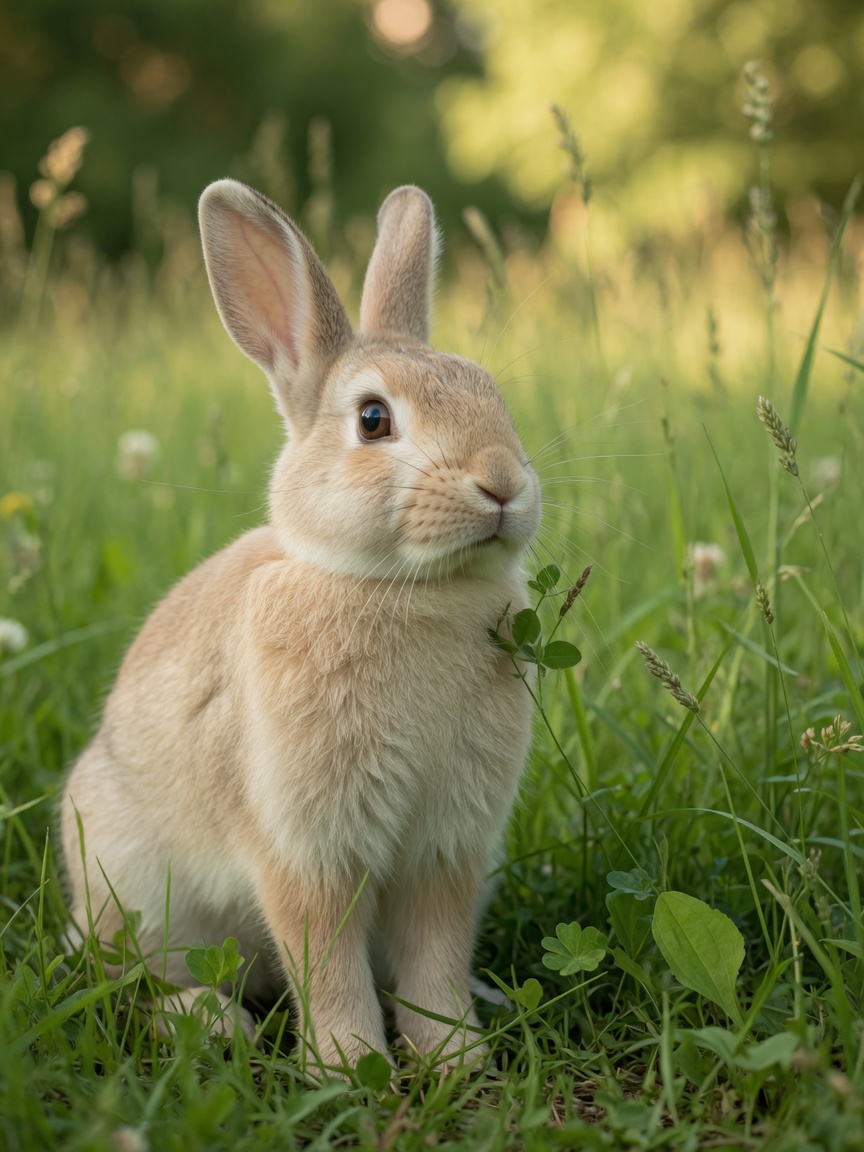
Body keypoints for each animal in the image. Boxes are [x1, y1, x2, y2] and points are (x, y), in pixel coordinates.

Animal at [60, 179, 542, 1072]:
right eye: (374, 419)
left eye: (490, 391)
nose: (502, 484)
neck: (398, 588)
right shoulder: (307, 846)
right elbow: (326, 961)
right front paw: (351, 1066)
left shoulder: (446, 850)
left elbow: (434, 956)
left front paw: (455, 1056)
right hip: (136, 895)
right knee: (123, 981)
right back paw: (209, 1021)